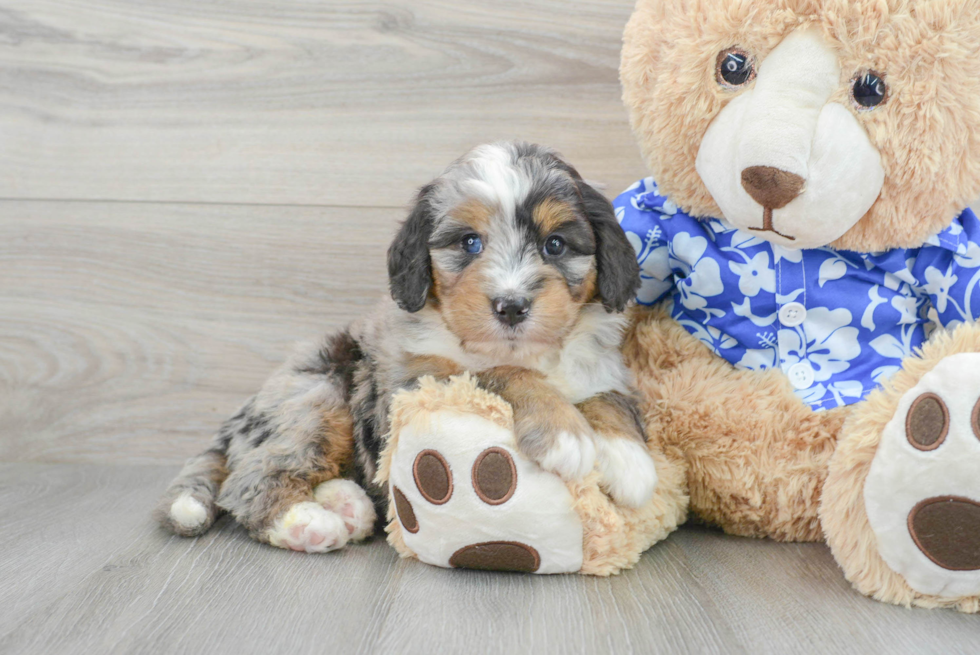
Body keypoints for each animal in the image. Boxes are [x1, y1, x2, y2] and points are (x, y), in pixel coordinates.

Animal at [155, 142, 660, 552]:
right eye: (469, 242)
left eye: (555, 245)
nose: (512, 306)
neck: (525, 349)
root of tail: (239, 419)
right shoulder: (412, 384)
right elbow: (497, 373)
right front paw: (563, 433)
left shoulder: (601, 366)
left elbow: (609, 398)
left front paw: (630, 461)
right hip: (319, 395)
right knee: (253, 478)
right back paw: (308, 523)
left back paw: (349, 504)